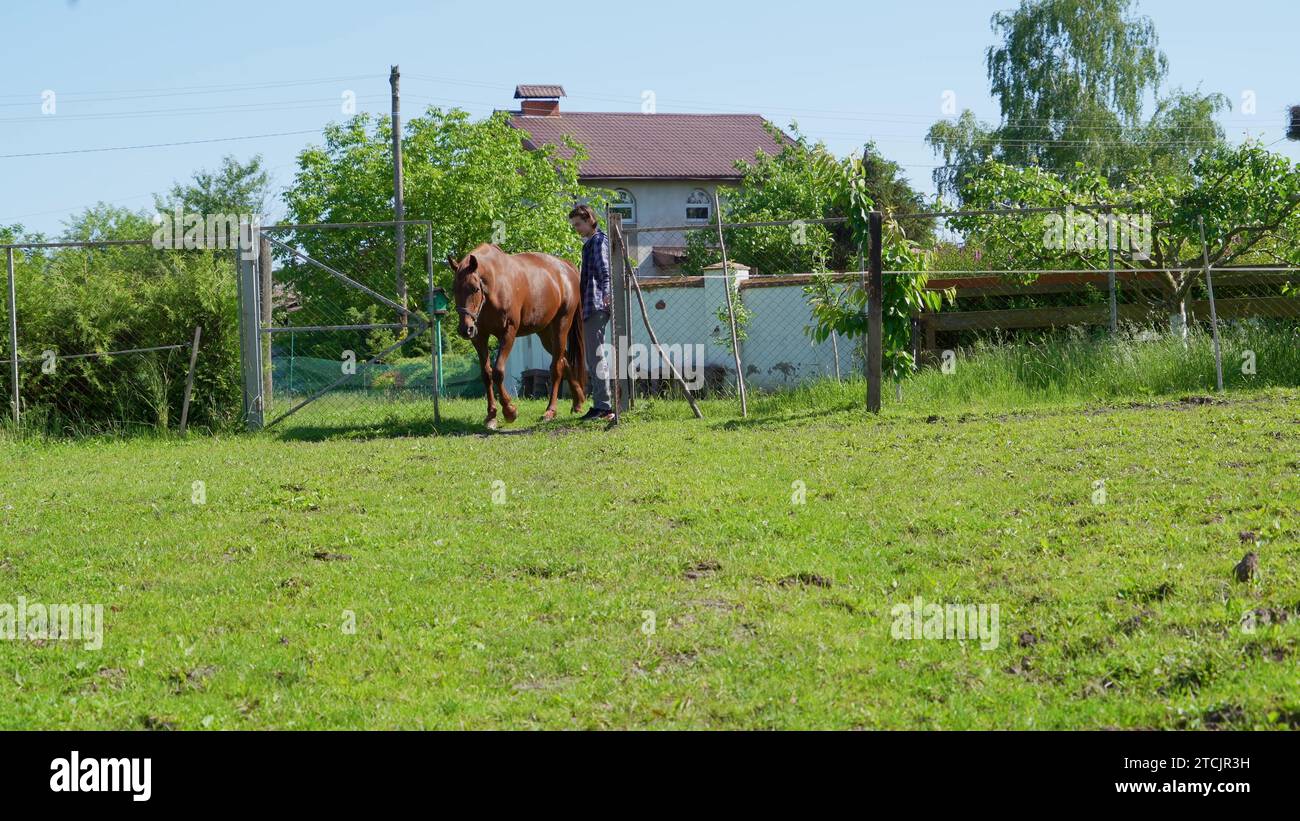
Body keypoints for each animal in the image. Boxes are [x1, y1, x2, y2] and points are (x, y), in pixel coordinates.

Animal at [447, 241, 590, 428]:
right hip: (545, 333)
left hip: (561, 325)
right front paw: (491, 415)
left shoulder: (508, 333)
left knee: (556, 368)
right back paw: (578, 402)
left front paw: (509, 411)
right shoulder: (479, 337)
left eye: (475, 288)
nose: (465, 329)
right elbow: (486, 374)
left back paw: (550, 411)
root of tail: (567, 268)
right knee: (564, 360)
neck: (495, 284)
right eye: (454, 289)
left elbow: (498, 372)